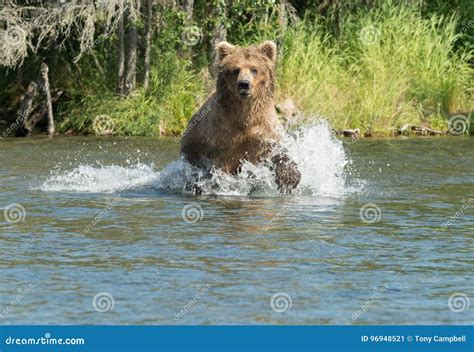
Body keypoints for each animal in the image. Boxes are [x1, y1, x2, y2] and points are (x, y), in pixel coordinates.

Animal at [180, 41, 302, 195]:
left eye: (254, 69)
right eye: (236, 70)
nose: (244, 84)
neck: (244, 113)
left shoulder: (263, 127)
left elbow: (276, 150)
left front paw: (289, 177)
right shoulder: (222, 133)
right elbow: (220, 164)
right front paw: (215, 183)